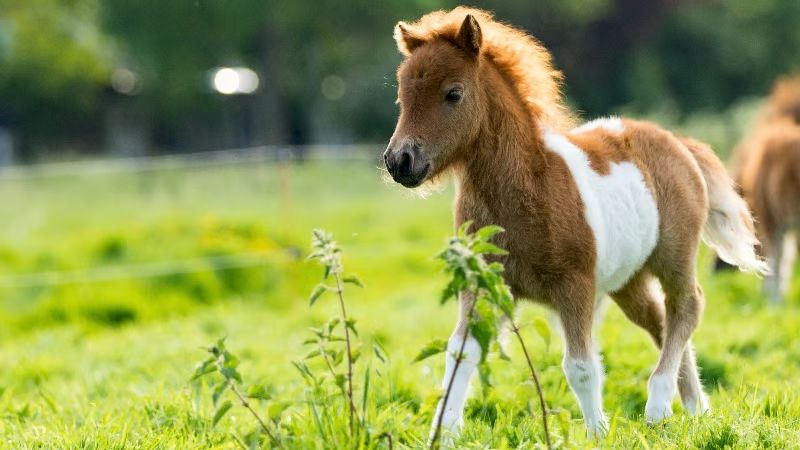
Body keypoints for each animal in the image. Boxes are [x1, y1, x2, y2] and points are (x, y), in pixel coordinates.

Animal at [382, 6, 768, 440]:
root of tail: (677, 142)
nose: (400, 161)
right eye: (402, 96)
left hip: (674, 256)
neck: (528, 187)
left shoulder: (575, 286)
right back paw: (695, 409)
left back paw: (657, 405)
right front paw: (443, 433)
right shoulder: (483, 283)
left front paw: (598, 433)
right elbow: (461, 354)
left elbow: (581, 367)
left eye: (453, 93)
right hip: (627, 281)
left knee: (686, 306)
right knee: (659, 320)